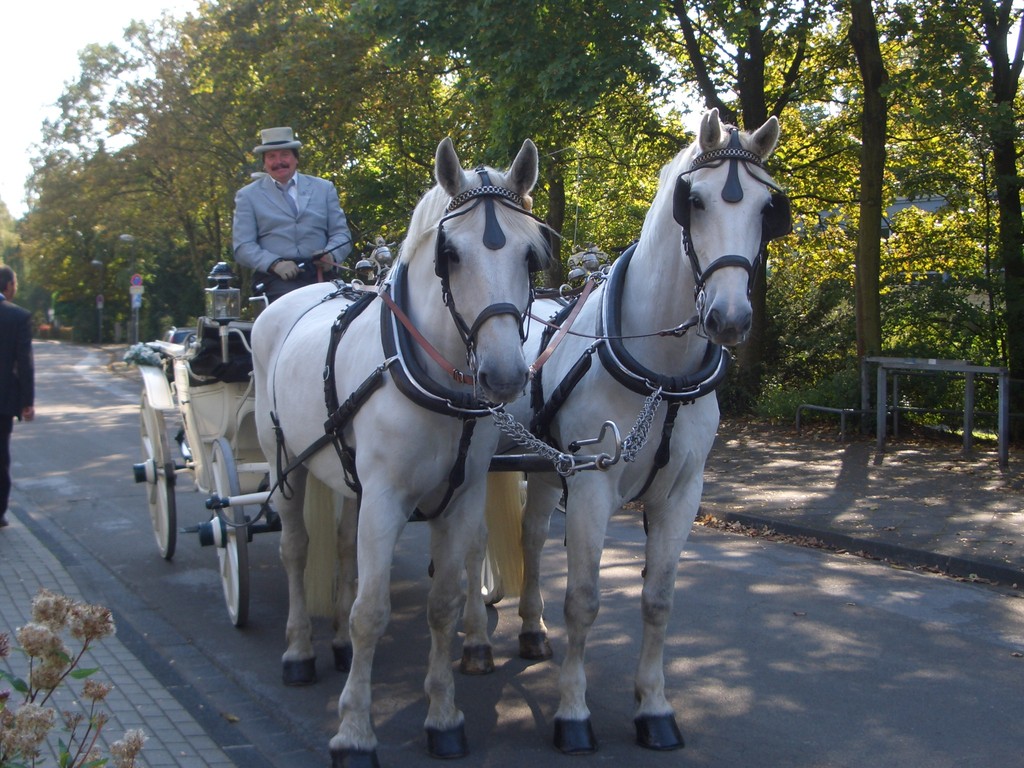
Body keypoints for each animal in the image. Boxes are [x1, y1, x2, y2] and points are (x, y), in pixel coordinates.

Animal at [251, 137, 551, 767]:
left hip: (342, 475)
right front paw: (354, 732)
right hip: (284, 464)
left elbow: (443, 602)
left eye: (531, 256)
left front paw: (444, 717)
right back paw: (300, 651)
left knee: (342, 544)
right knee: (295, 549)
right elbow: (372, 611)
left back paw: (336, 642)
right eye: (450, 255)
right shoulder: (386, 499)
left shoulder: (459, 498)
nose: (506, 375)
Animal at [489, 108, 792, 754]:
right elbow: (584, 601)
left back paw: (531, 629)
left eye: (766, 209)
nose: (729, 318)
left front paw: (653, 707)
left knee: (531, 536)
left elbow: (658, 601)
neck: (662, 375)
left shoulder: (680, 493)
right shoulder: (592, 487)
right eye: (694, 202)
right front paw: (573, 713)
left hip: (548, 469)